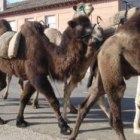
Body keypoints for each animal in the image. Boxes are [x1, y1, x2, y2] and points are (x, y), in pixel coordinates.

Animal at [68, 10, 140, 140]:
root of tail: (100, 50)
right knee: (115, 119)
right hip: (112, 72)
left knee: (85, 104)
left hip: (103, 76)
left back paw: (72, 135)